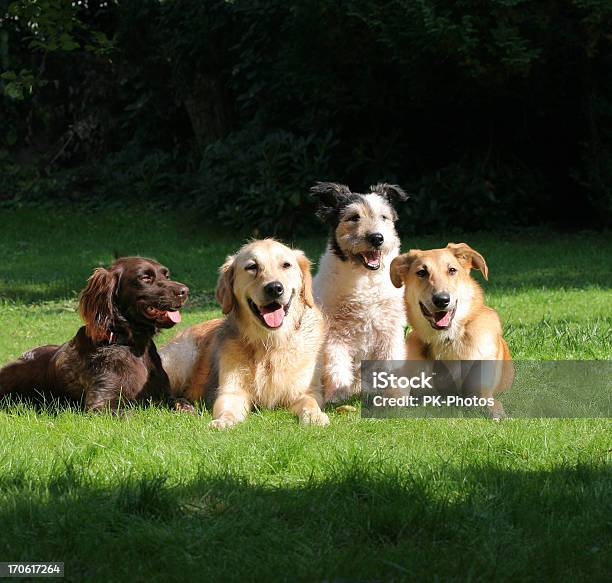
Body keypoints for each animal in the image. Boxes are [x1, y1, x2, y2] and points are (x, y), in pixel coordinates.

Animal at [159, 238, 330, 428]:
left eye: (286, 265)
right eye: (252, 267)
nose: (274, 288)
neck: (270, 343)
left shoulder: (306, 391)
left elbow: (310, 402)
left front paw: (315, 416)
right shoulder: (231, 392)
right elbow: (227, 409)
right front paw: (223, 421)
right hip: (182, 358)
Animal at [314, 182, 408, 402]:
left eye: (384, 217)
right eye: (353, 217)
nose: (377, 238)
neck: (366, 280)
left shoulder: (390, 330)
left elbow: (392, 363)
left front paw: (396, 397)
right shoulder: (334, 334)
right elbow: (336, 366)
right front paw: (338, 396)